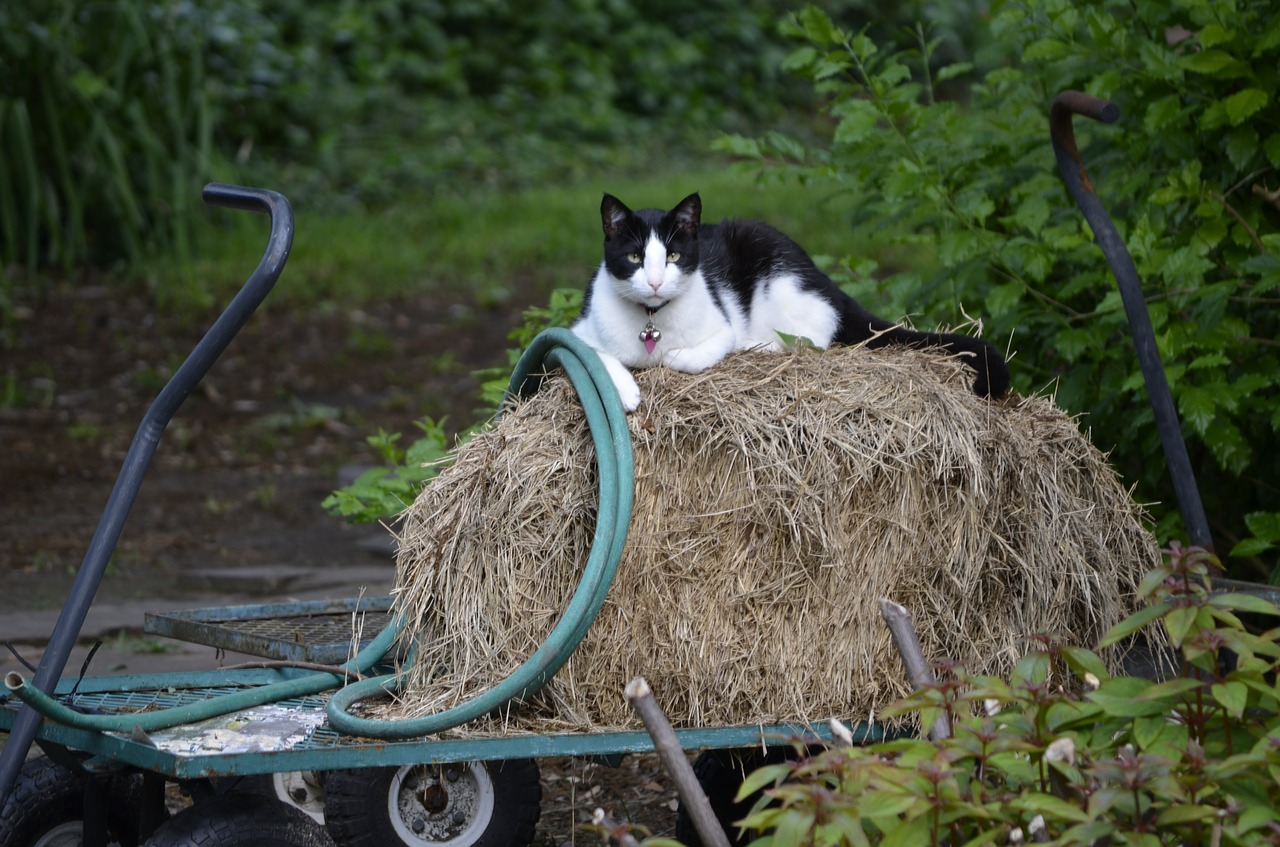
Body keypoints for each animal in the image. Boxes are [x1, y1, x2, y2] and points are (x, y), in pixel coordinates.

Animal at [573, 191, 1008, 411]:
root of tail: (824, 278)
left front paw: (672, 358)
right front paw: (625, 391)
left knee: (813, 337)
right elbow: (594, 354)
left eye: (674, 256)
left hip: (782, 277)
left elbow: (692, 354)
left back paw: (758, 344)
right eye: (634, 258)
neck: (652, 321)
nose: (655, 281)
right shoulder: (577, 330)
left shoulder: (721, 326)